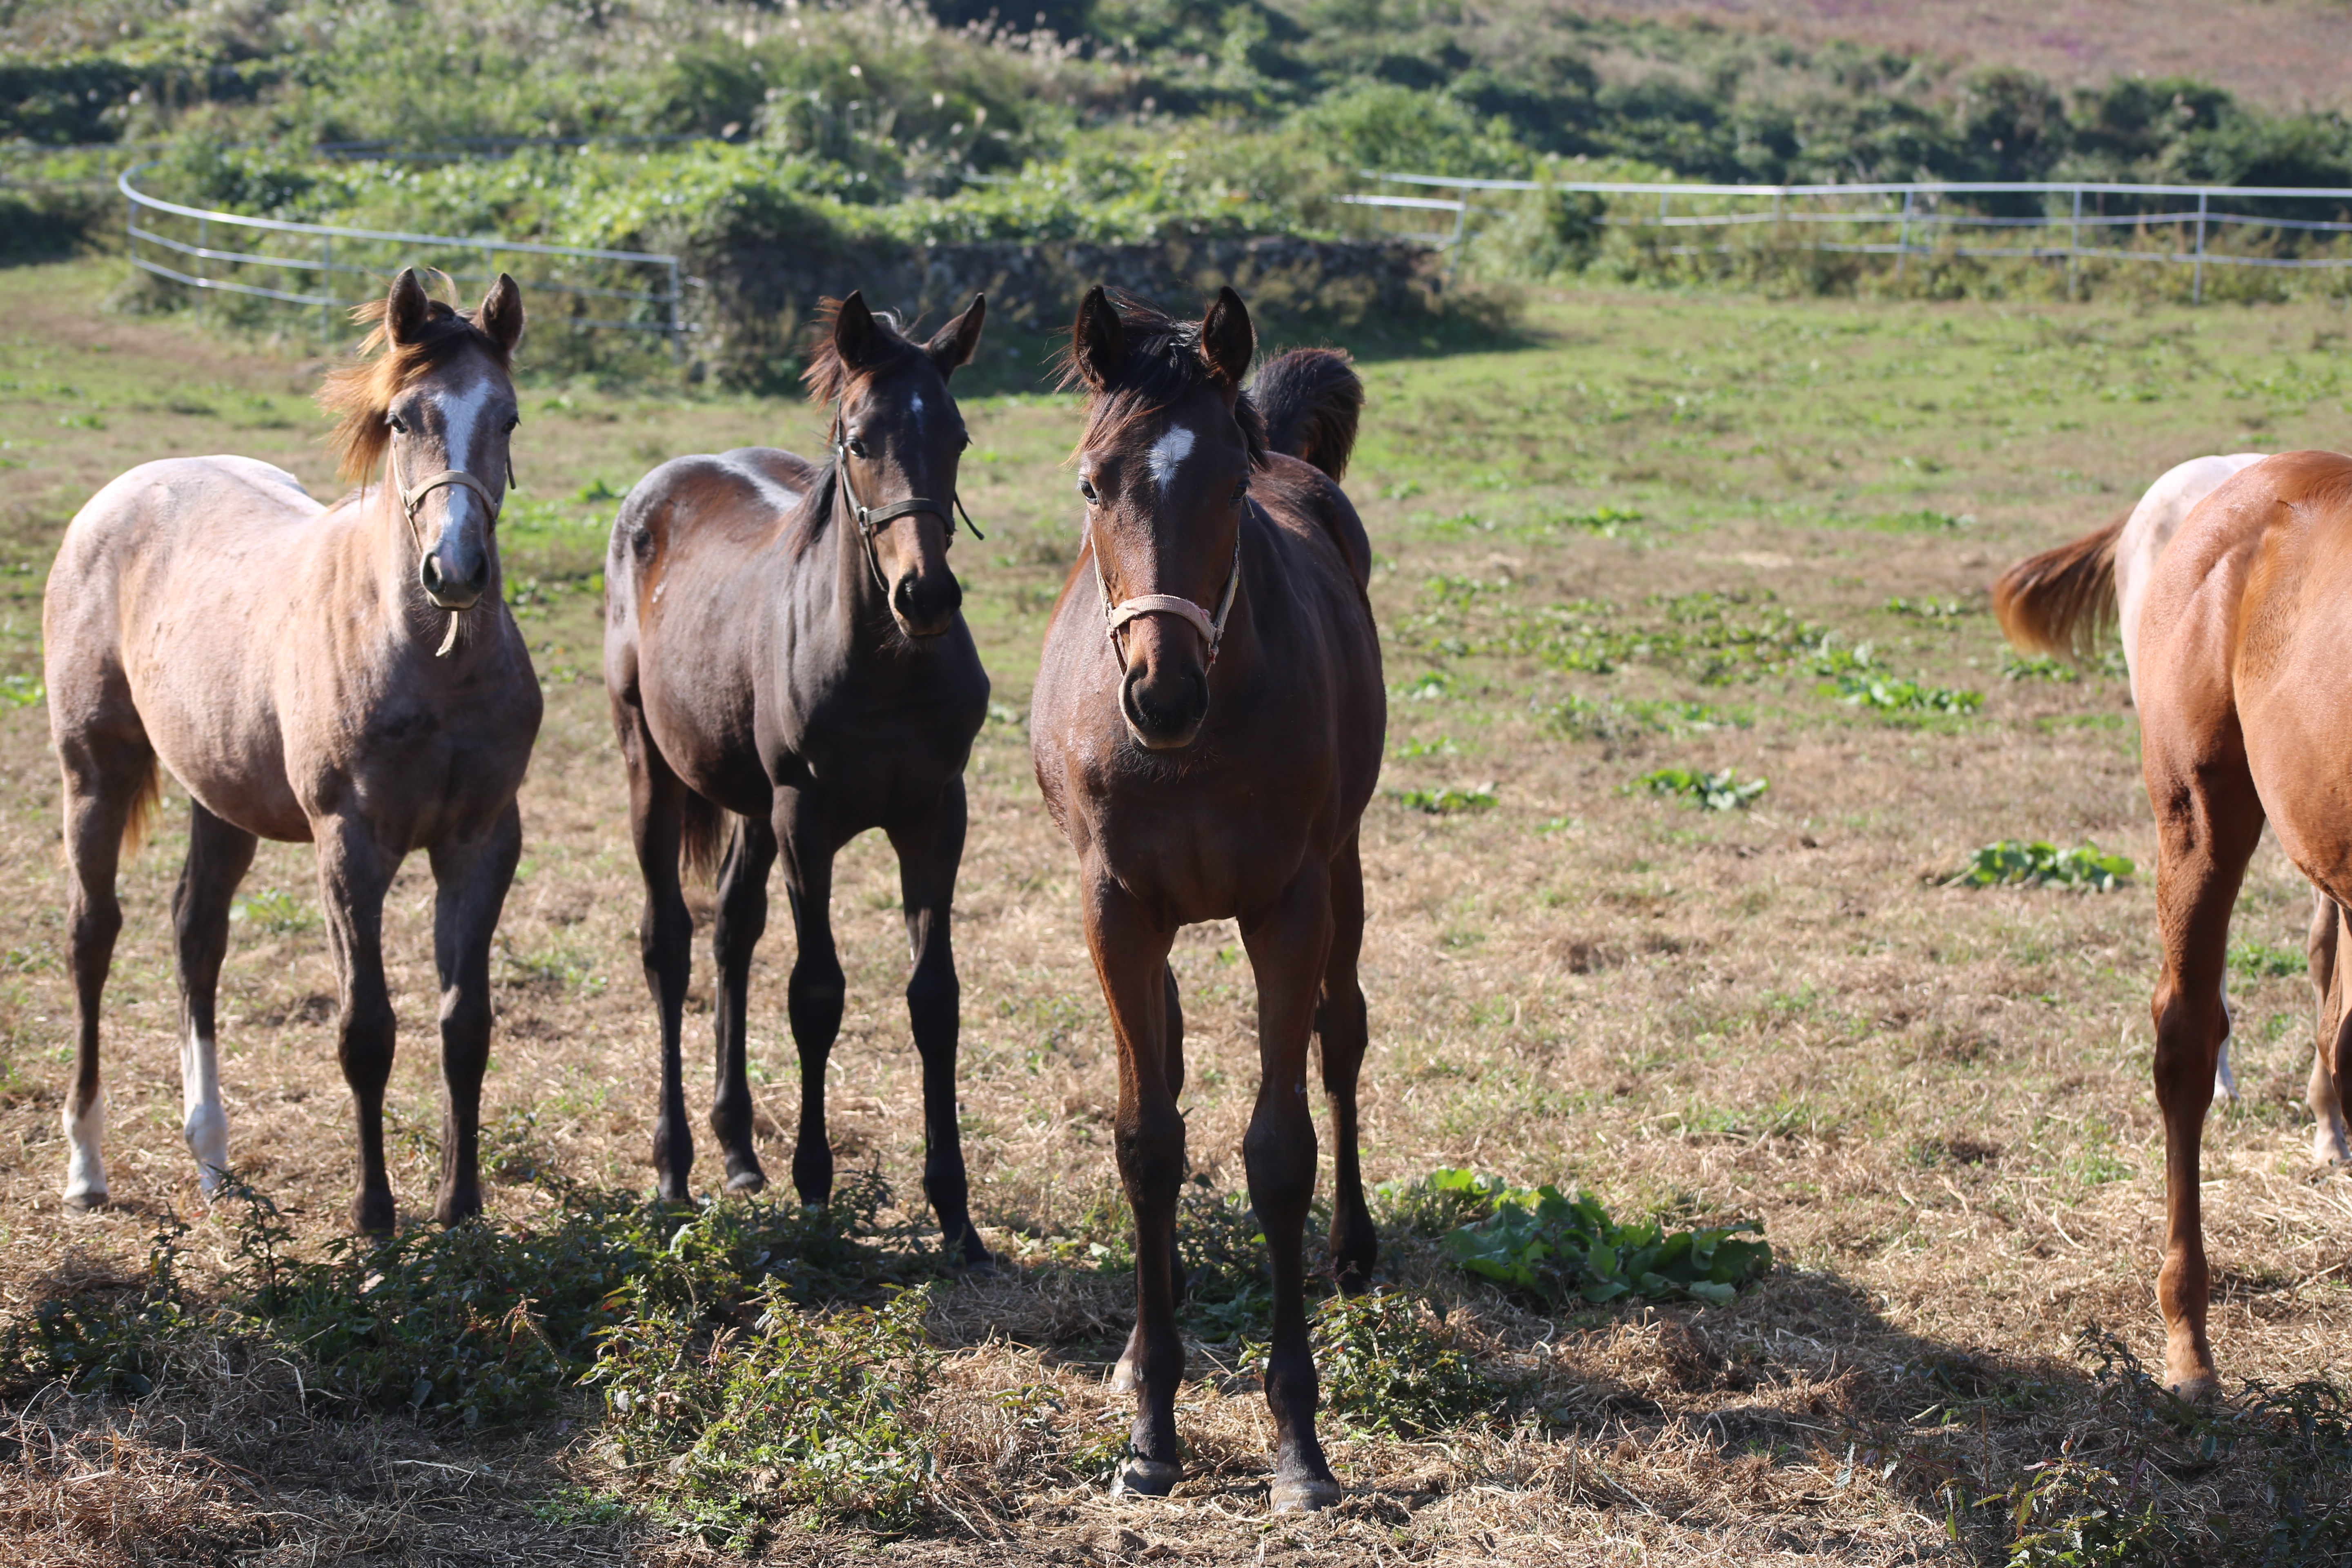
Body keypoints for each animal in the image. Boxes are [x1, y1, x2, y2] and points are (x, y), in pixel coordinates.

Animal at [42, 267, 541, 1222]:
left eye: (508, 418)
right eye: (401, 419)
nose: (456, 571)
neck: (428, 664)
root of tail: (119, 495)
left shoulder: (482, 839)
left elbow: (465, 1026)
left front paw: (461, 1207)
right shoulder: (350, 845)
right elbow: (366, 1030)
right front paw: (376, 1217)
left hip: (218, 793)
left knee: (196, 934)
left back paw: (211, 1155)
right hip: (95, 772)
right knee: (94, 933)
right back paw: (86, 1164)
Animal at [602, 294, 997, 1269]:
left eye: (959, 435)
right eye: (858, 439)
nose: (926, 596)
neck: (884, 665)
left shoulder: (937, 812)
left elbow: (935, 999)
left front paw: (957, 1214)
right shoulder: (805, 818)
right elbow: (817, 994)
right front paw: (817, 1191)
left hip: (748, 803)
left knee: (732, 933)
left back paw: (740, 1152)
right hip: (652, 766)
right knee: (670, 944)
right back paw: (676, 1168)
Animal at [1030, 288, 1373, 1514]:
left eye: (1227, 488)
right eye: (1093, 483)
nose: (1160, 692)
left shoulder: (1288, 906)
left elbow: (1278, 1151)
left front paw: (1298, 1446)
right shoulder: (1115, 909)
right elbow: (1148, 1138)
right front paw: (1151, 1427)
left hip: (1345, 868)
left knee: (1341, 1034)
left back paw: (1354, 1251)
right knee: (1168, 1063)